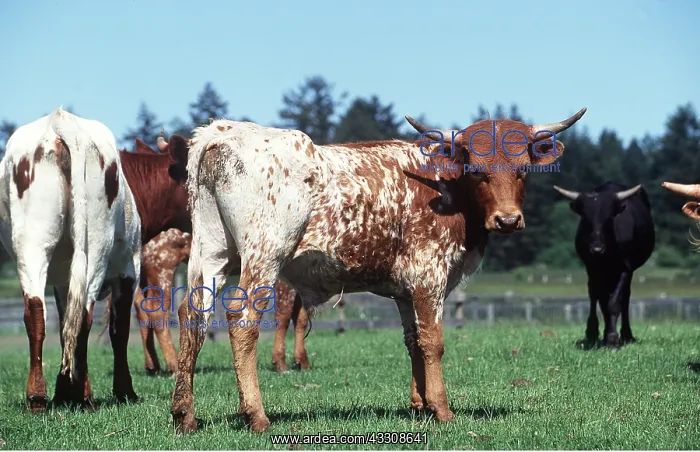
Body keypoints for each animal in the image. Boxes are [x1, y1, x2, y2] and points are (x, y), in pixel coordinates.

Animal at [0, 108, 142, 411]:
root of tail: (61, 121)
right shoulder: (129, 270)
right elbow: (119, 331)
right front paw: (124, 391)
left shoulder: (62, 282)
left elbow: (65, 320)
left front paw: (64, 388)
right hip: (95, 250)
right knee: (84, 317)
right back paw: (84, 396)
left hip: (32, 247)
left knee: (38, 314)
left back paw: (38, 396)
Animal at [169, 107, 586, 433]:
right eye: (477, 171)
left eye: (522, 171)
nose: (507, 220)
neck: (444, 188)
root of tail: (222, 132)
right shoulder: (429, 276)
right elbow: (433, 342)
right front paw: (442, 409)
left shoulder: (405, 290)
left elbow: (413, 341)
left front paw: (420, 405)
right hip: (264, 254)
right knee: (242, 321)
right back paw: (256, 415)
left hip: (211, 253)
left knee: (192, 314)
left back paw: (184, 414)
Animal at [553, 181, 655, 347]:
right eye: (586, 218)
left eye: (609, 218)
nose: (596, 249)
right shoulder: (592, 268)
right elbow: (599, 299)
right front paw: (595, 333)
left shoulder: (625, 269)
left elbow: (614, 303)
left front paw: (612, 339)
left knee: (625, 298)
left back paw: (626, 334)